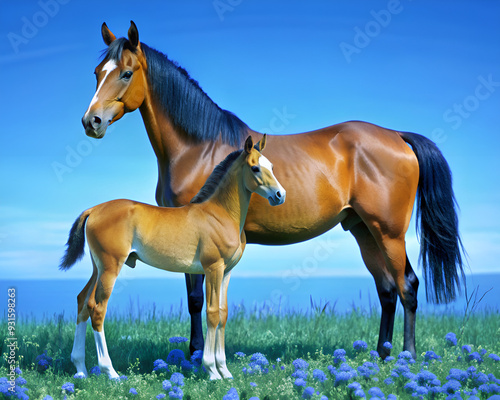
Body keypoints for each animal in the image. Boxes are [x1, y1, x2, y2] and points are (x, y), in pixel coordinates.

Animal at [60, 136, 286, 380]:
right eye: (255, 168)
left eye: (272, 166)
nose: (280, 195)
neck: (219, 214)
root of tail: (93, 210)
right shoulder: (213, 268)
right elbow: (212, 314)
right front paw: (212, 371)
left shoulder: (226, 272)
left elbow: (223, 314)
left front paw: (225, 371)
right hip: (110, 267)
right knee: (98, 309)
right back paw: (110, 372)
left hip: (98, 267)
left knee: (83, 301)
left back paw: (81, 369)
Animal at [82, 21, 464, 360]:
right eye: (97, 72)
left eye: (126, 73)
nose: (91, 121)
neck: (198, 148)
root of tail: (397, 136)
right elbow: (196, 300)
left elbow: (196, 299)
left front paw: (196, 354)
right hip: (363, 230)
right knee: (386, 290)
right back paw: (381, 354)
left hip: (389, 232)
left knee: (407, 285)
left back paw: (407, 355)